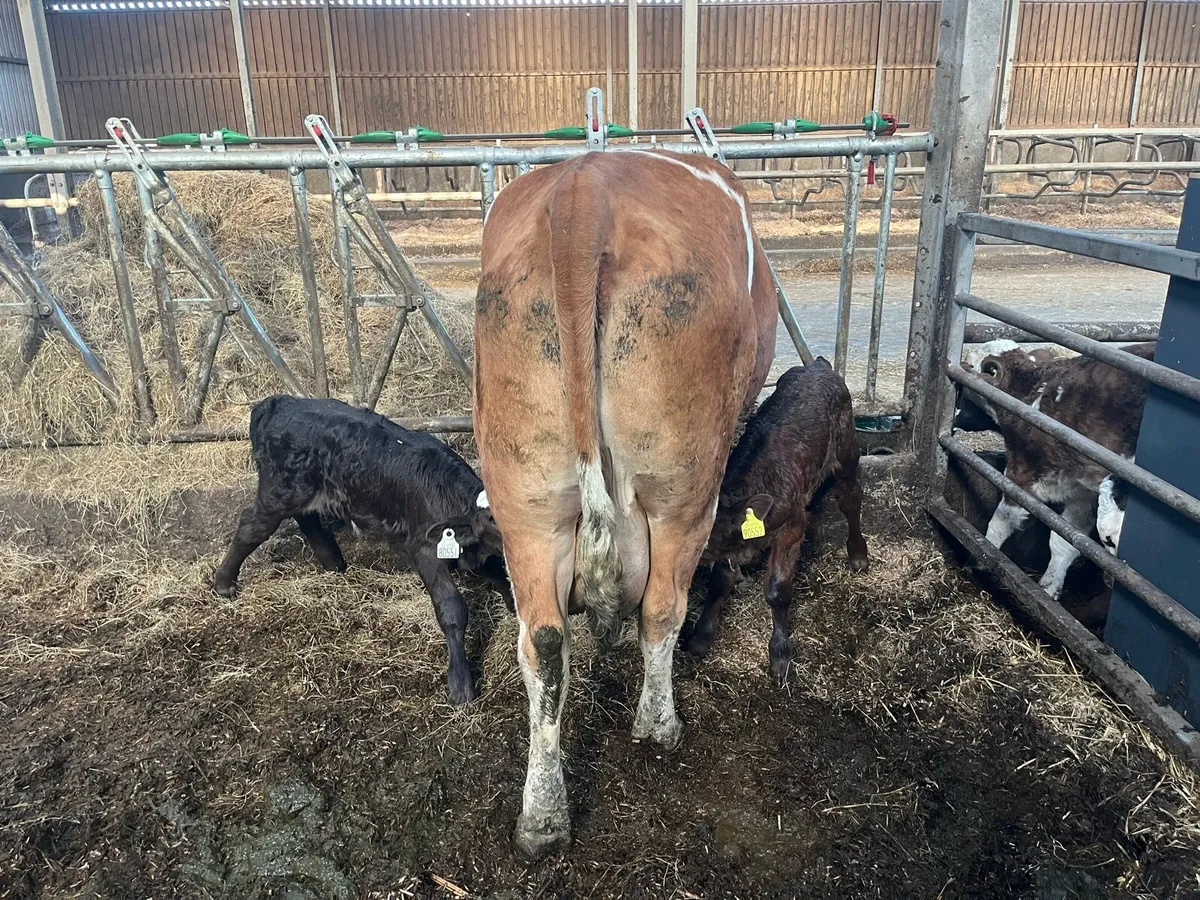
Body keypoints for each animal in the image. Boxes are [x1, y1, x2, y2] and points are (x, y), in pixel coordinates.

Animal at [211, 395, 506, 705]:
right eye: (493, 519)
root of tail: (276, 402)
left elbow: (503, 581)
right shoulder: (425, 549)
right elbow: (451, 609)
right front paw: (461, 685)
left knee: (306, 517)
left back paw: (332, 562)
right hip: (278, 491)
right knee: (251, 527)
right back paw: (224, 584)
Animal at [473, 149, 778, 857]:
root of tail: (584, 185)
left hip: (524, 501)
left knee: (544, 644)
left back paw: (542, 816)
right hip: (681, 488)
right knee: (662, 607)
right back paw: (658, 725)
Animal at [684, 360, 869, 681]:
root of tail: (817, 364)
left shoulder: (792, 526)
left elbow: (777, 589)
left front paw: (780, 654)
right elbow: (719, 582)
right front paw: (701, 636)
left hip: (847, 449)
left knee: (850, 497)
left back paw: (858, 553)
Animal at [973, 343, 1153, 598]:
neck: (1030, 390)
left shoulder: (1022, 473)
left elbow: (1000, 521)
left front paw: (983, 557)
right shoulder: (1083, 493)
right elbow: (1065, 541)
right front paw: (1048, 589)